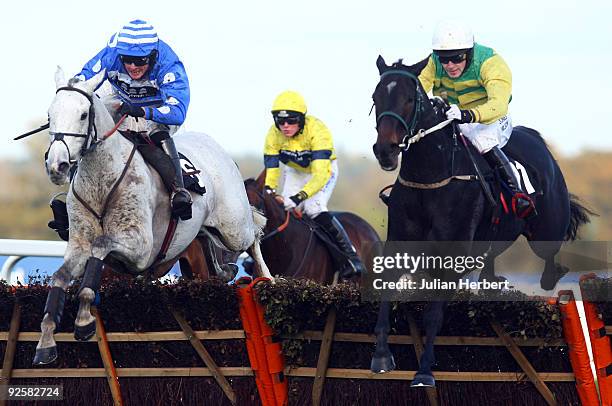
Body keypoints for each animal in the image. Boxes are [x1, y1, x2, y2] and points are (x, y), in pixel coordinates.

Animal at [370, 56, 592, 386]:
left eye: (410, 99)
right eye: (376, 98)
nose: (385, 150)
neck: (431, 177)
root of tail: (537, 140)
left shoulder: (452, 251)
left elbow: (434, 314)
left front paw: (424, 371)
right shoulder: (400, 243)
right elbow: (386, 292)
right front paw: (382, 356)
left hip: (546, 229)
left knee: (548, 261)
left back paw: (552, 275)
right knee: (491, 261)